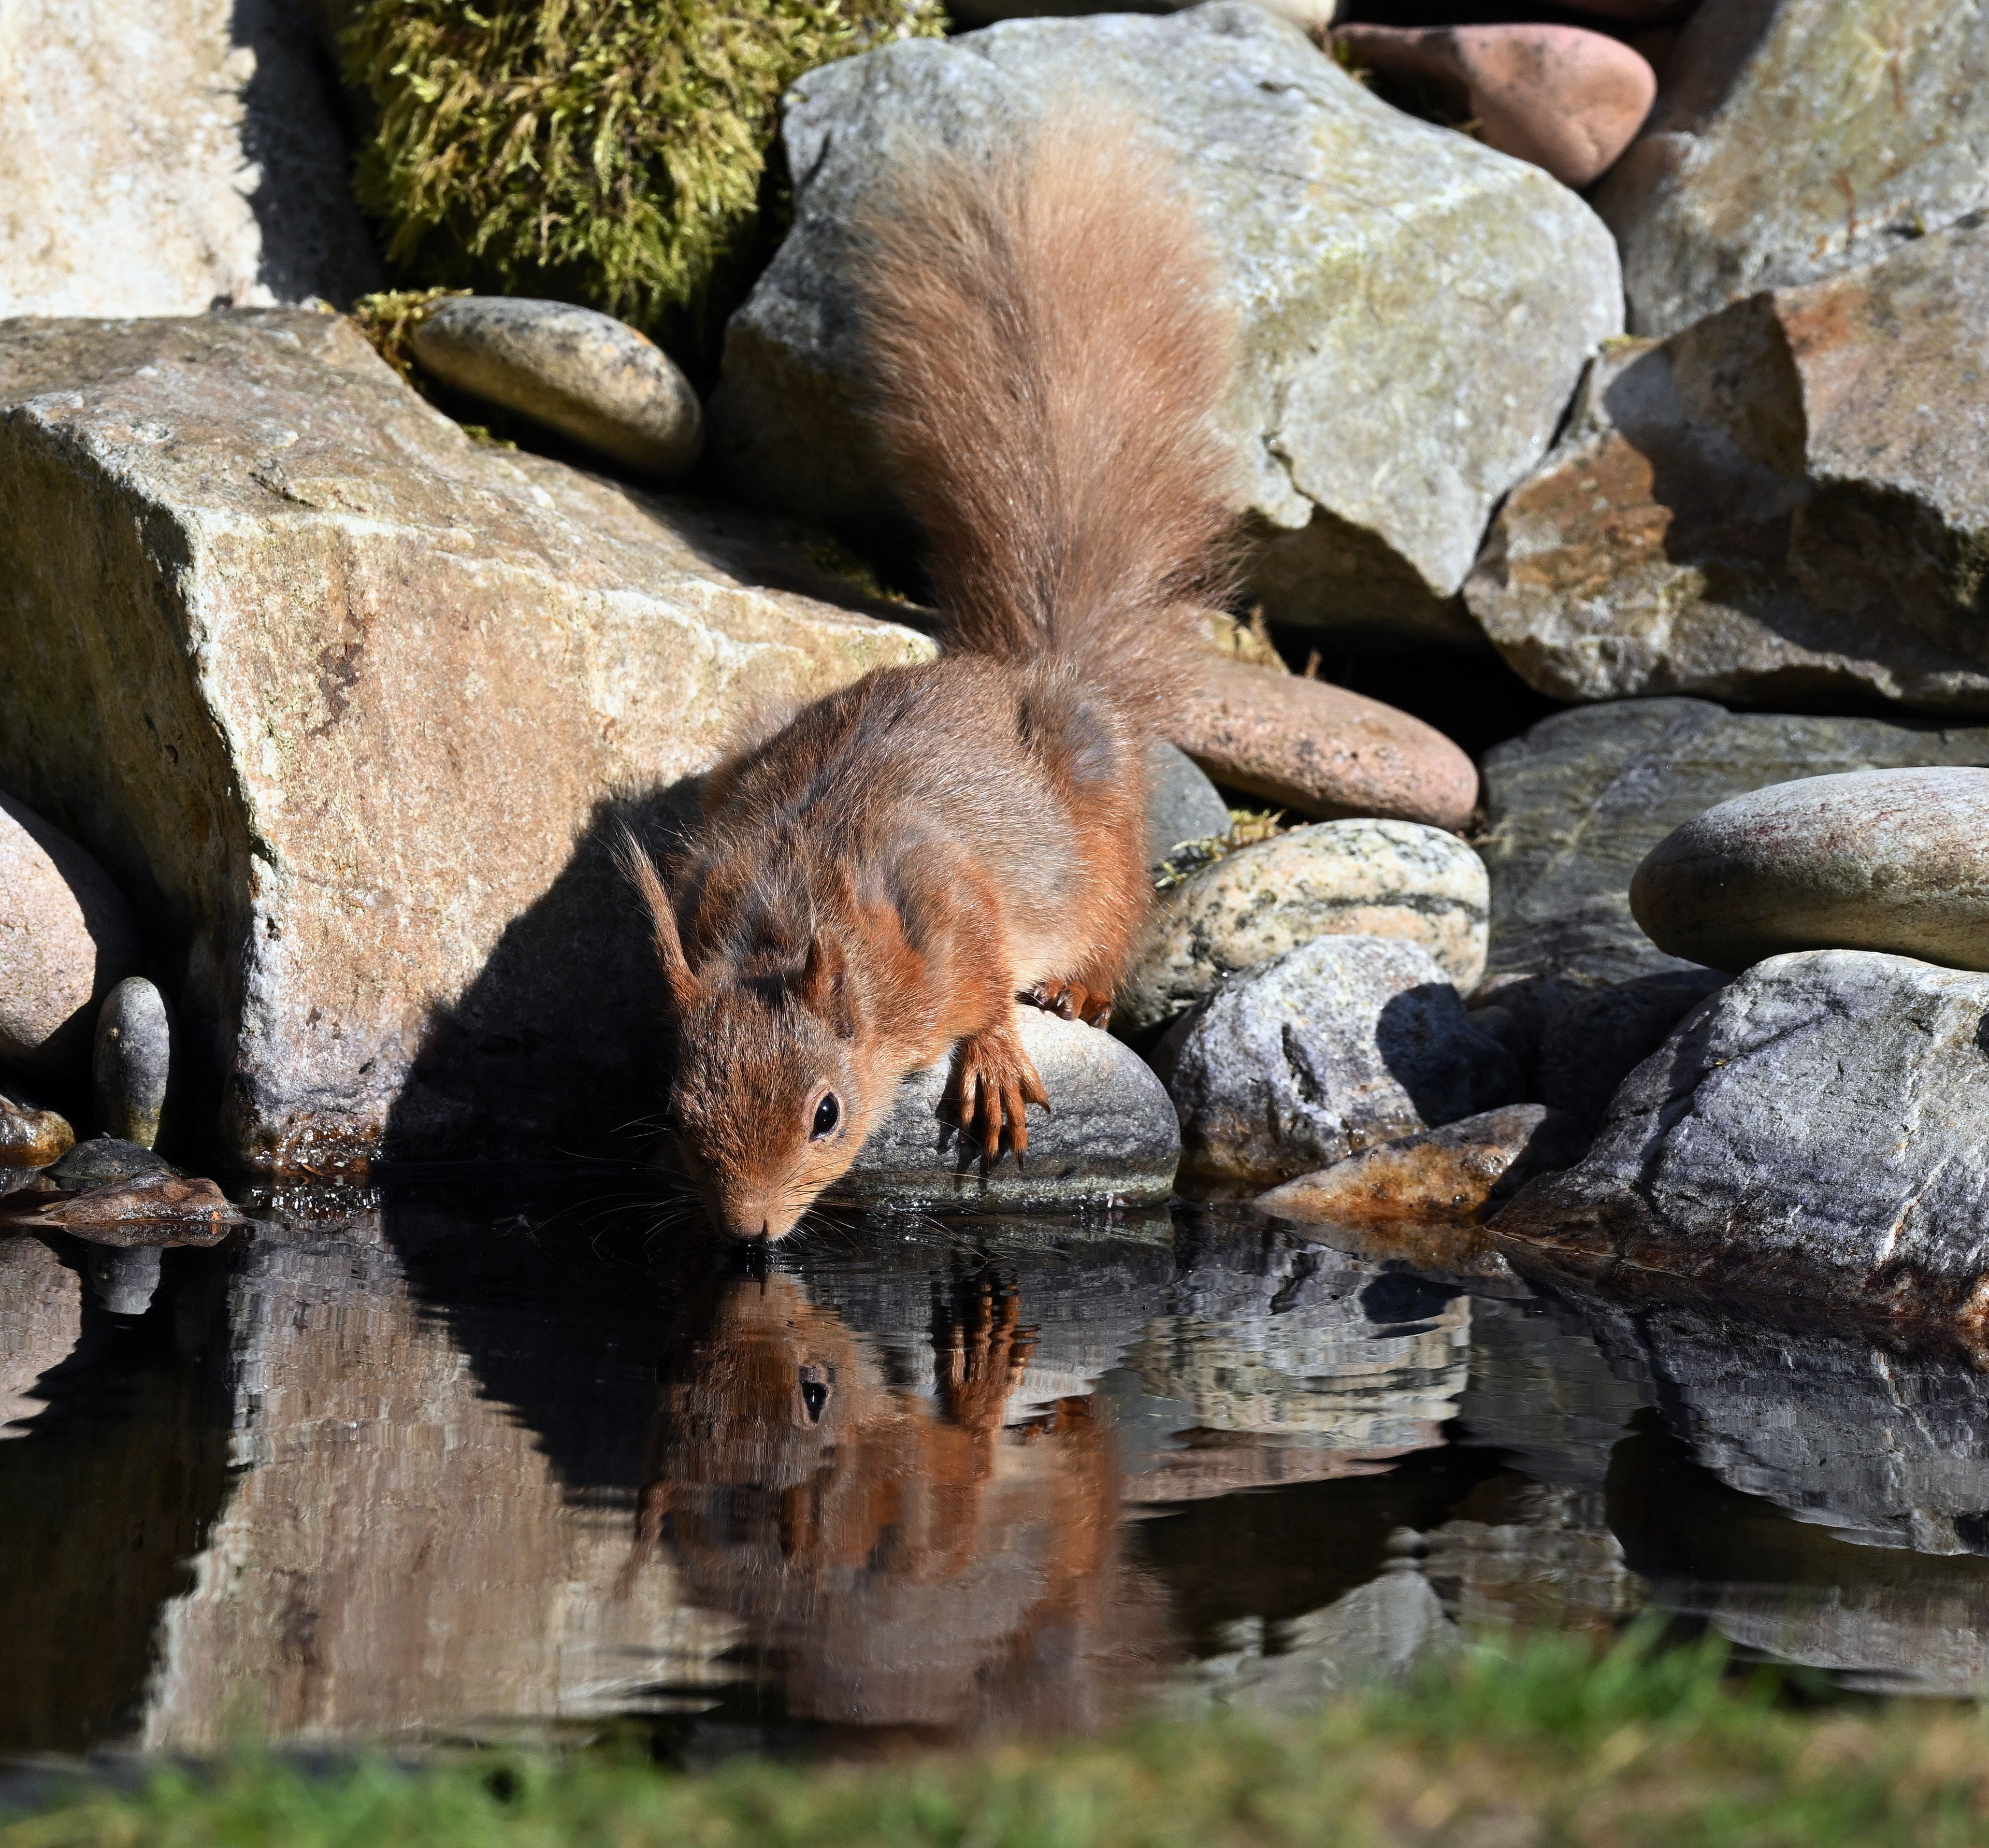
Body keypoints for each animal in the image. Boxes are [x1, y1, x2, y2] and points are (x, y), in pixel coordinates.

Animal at [623, 115, 1238, 1243]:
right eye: (681, 1113)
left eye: (827, 1113)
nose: (748, 1234)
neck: (792, 919)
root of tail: (1020, 667)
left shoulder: (952, 910)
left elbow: (987, 984)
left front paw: (992, 1056)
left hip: (1101, 851)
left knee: (1113, 917)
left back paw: (1082, 990)